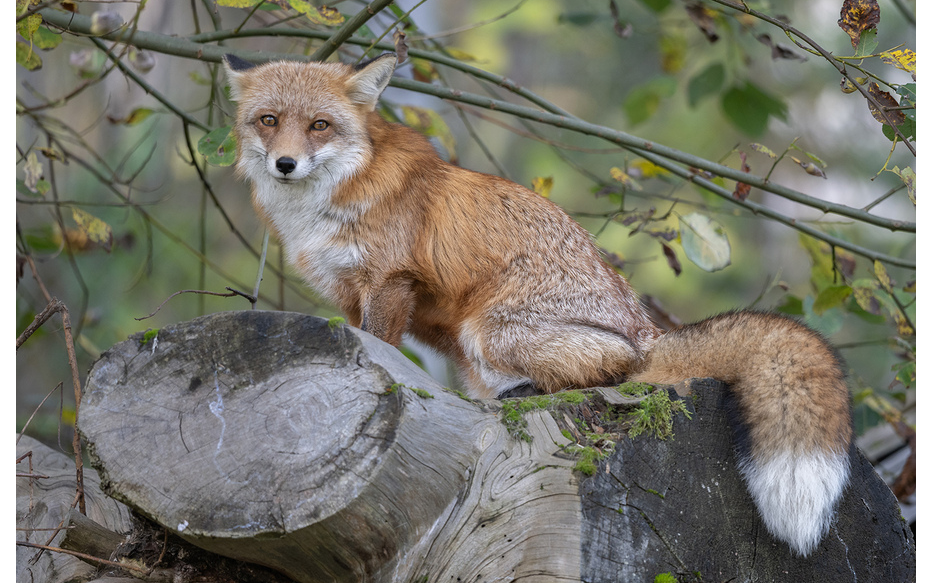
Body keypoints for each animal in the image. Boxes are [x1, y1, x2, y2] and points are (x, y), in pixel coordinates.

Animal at [224, 53, 852, 556]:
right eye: (269, 121)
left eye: (320, 125)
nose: (285, 164)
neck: (323, 209)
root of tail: (649, 331)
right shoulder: (352, 298)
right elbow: (367, 344)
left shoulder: (391, 281)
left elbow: (383, 349)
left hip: (491, 331)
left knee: (612, 370)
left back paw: (532, 391)